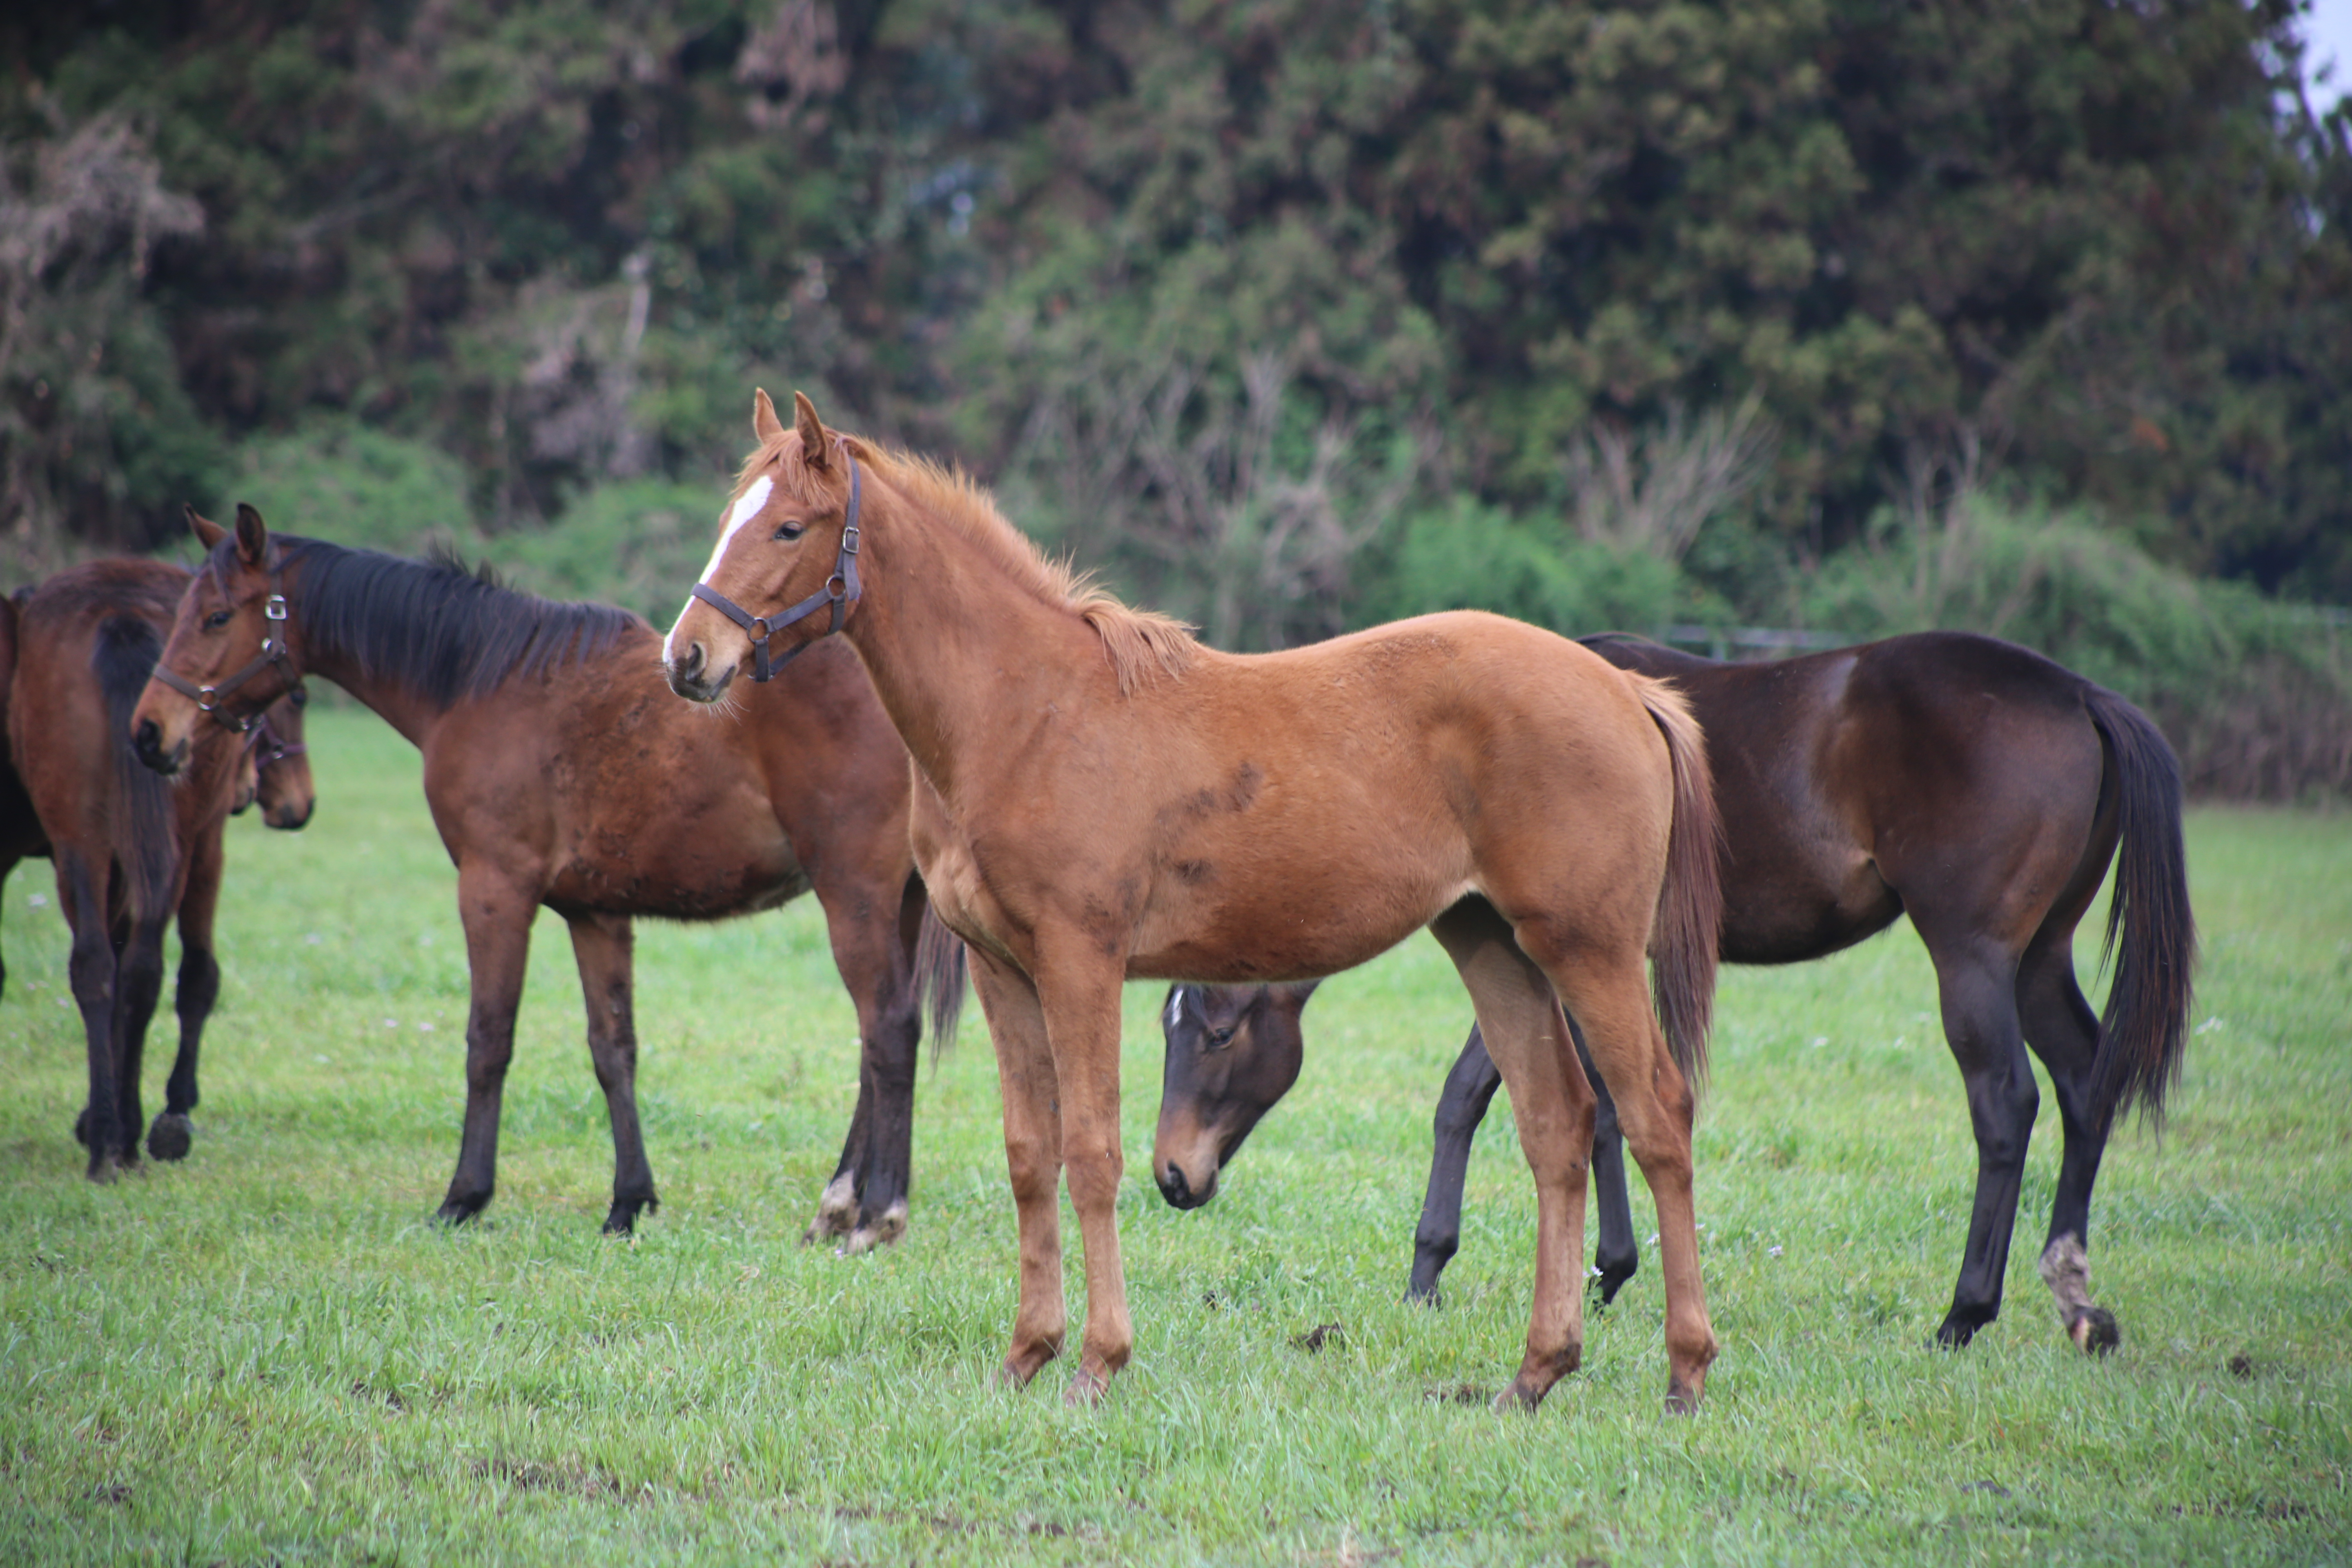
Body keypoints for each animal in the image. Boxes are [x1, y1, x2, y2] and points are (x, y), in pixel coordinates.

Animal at [7, 552, 315, 1175]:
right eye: (293, 704)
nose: (300, 804)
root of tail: (120, 611)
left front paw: (109, 1116)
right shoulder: (207, 842)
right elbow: (198, 975)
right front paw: (172, 1112)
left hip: (83, 840)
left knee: (108, 968)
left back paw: (112, 1136)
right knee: (137, 968)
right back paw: (121, 1134)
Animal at [131, 510, 964, 1241]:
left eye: (215, 617)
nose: (149, 732)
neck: (480, 682)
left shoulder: (494, 889)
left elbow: (488, 1040)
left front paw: (464, 1197)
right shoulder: (595, 913)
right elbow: (613, 1049)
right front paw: (628, 1203)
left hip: (854, 896)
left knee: (887, 1029)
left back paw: (870, 1211)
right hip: (894, 906)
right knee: (877, 1040)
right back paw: (840, 1206)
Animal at [663, 390, 1731, 1410]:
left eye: (790, 527)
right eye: (725, 520)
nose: (687, 657)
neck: (1026, 713)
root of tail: (1628, 691)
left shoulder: (1081, 961)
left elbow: (1090, 1153)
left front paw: (1097, 1365)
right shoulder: (1003, 970)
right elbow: (1029, 1154)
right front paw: (1025, 1356)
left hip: (1588, 950)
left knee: (1656, 1118)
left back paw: (1684, 1374)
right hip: (1492, 945)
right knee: (1556, 1128)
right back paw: (1534, 1375)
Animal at [1147, 630, 2192, 1354]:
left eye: (1217, 1031)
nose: (1173, 1179)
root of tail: (2080, 694)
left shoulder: (1556, 951)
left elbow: (1471, 1096)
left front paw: (1427, 1270)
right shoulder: (1593, 959)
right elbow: (1607, 1109)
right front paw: (1609, 1271)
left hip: (1971, 955)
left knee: (2004, 1101)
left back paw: (1963, 1313)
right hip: (2037, 956)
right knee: (2083, 1083)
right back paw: (2073, 1296)